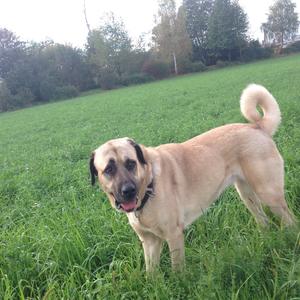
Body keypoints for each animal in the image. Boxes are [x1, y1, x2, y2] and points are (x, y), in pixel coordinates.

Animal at [89, 84, 296, 272]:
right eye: (109, 169)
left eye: (131, 163)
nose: (128, 191)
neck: (148, 185)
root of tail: (256, 127)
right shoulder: (150, 242)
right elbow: (151, 275)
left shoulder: (174, 235)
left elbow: (177, 272)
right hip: (247, 195)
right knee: (263, 221)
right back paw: (266, 244)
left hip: (269, 194)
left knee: (290, 221)